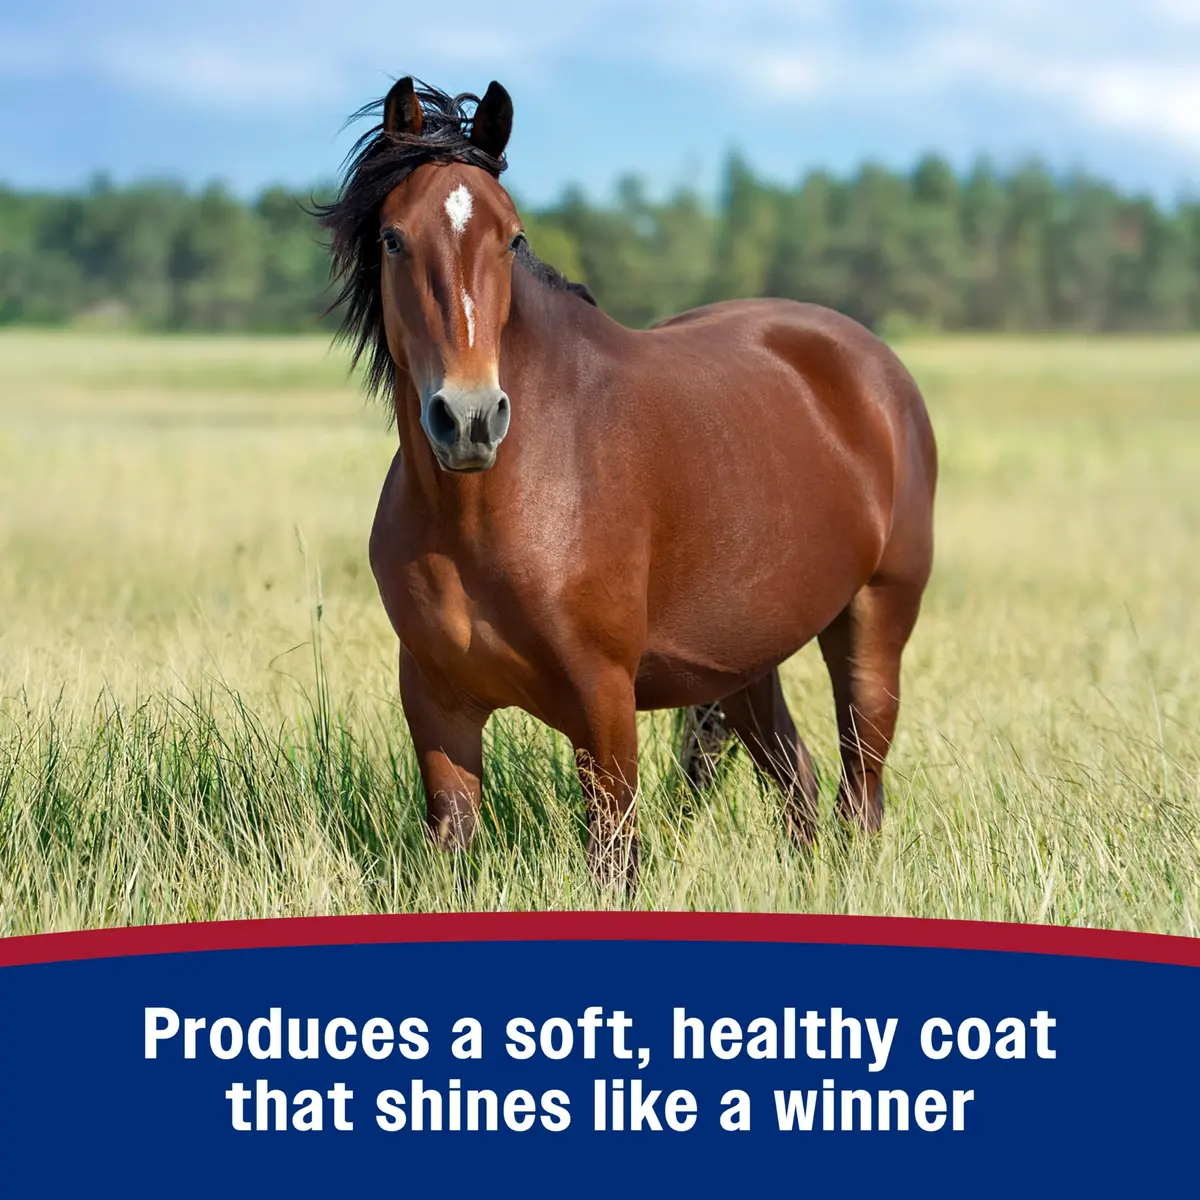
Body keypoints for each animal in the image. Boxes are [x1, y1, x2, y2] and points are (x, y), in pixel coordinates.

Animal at [318, 78, 937, 888]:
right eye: (393, 238)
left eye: (511, 238)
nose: (471, 418)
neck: (490, 507)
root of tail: (877, 368)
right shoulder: (436, 704)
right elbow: (453, 849)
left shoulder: (603, 703)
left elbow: (614, 862)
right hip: (746, 666)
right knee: (798, 788)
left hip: (874, 624)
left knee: (858, 789)